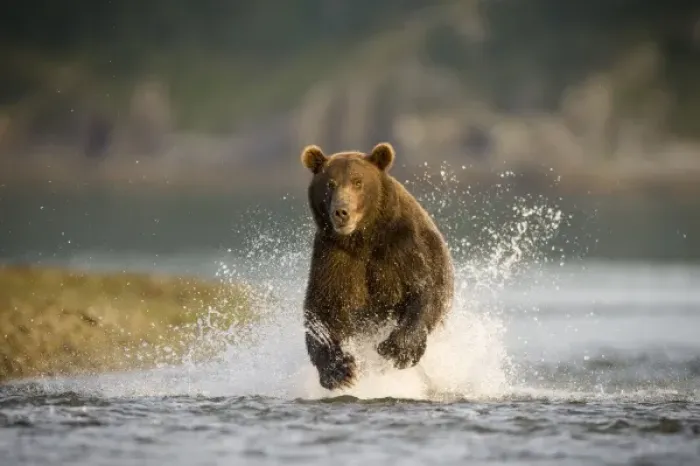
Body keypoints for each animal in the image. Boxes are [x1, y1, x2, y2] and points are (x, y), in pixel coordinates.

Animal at [300, 141, 455, 391]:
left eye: (358, 182)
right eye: (330, 184)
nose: (341, 212)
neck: (364, 237)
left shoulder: (405, 246)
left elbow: (425, 289)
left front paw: (397, 350)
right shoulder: (334, 256)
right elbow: (325, 307)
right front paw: (340, 370)